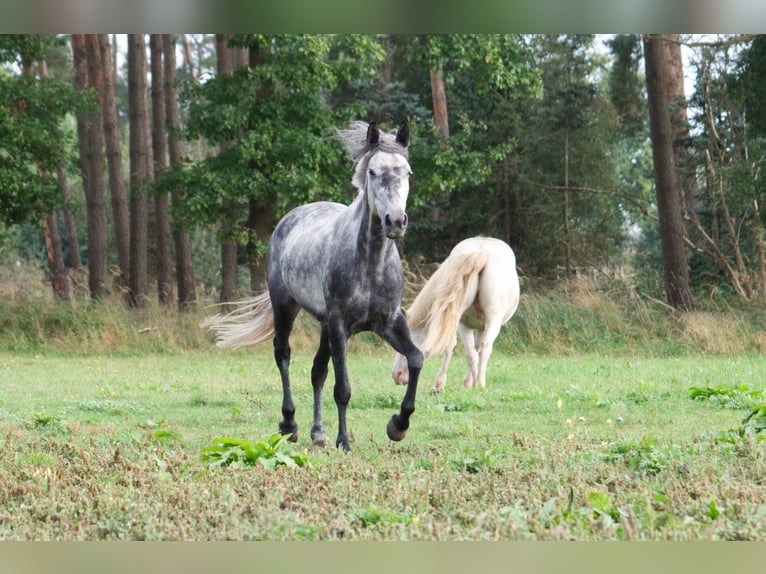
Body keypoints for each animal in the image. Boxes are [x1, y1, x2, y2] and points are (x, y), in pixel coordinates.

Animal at [390, 236, 520, 394]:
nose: (396, 375)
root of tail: (481, 251)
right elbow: (472, 350)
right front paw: (466, 383)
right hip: (484, 320)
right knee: (479, 350)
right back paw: (478, 383)